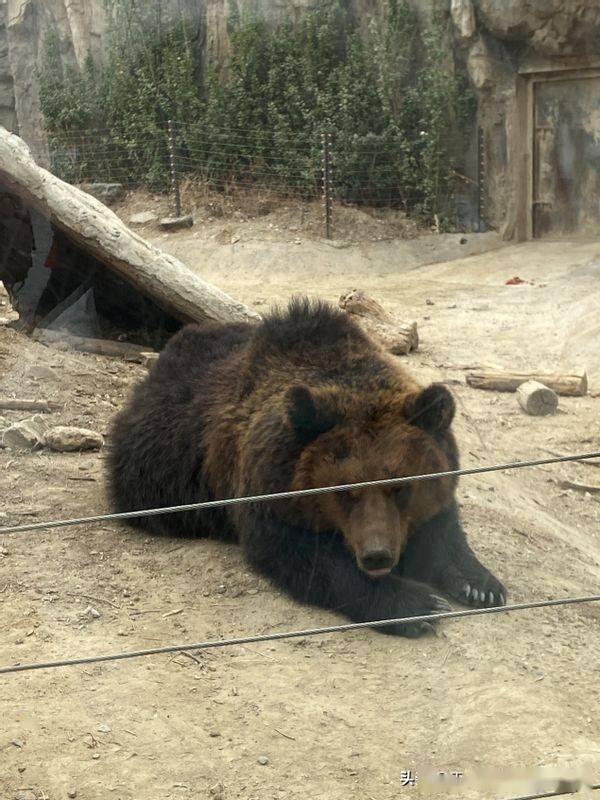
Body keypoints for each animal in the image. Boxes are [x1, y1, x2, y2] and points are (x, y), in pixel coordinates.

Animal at [109, 296, 506, 636]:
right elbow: (306, 558)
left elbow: (441, 528)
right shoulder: (267, 489)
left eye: (399, 485)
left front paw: (481, 585)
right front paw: (417, 605)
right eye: (345, 490)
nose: (377, 555)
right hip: (161, 461)